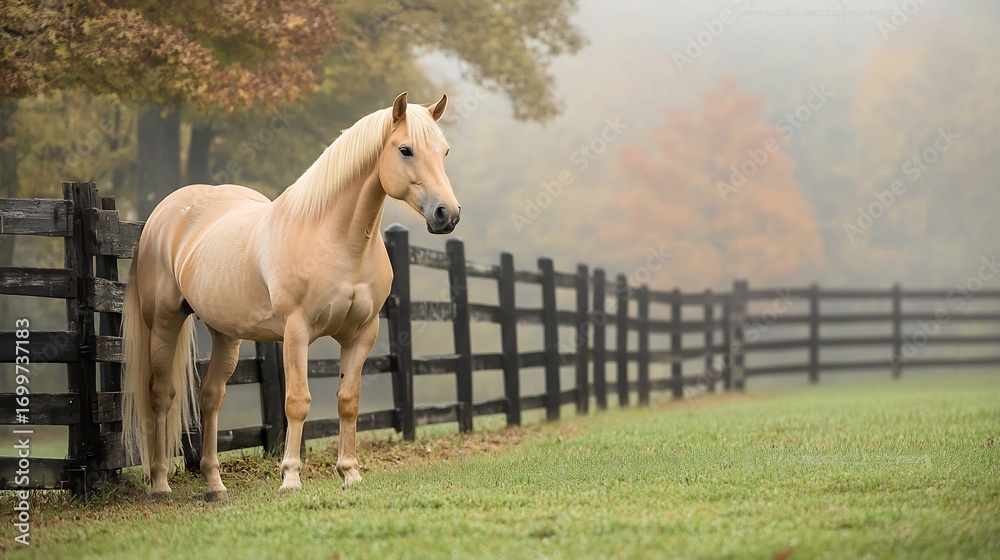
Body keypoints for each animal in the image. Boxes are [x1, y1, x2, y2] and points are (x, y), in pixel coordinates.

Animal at [121, 93, 459, 500]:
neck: (335, 238)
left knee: (211, 396)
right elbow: (297, 402)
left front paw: (350, 473)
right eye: (406, 150)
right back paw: (159, 483)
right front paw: (291, 478)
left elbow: (348, 401)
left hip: (226, 334)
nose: (447, 214)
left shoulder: (362, 334)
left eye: (444, 151)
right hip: (164, 322)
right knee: (161, 395)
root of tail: (162, 215)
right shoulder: (297, 333)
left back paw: (215, 485)